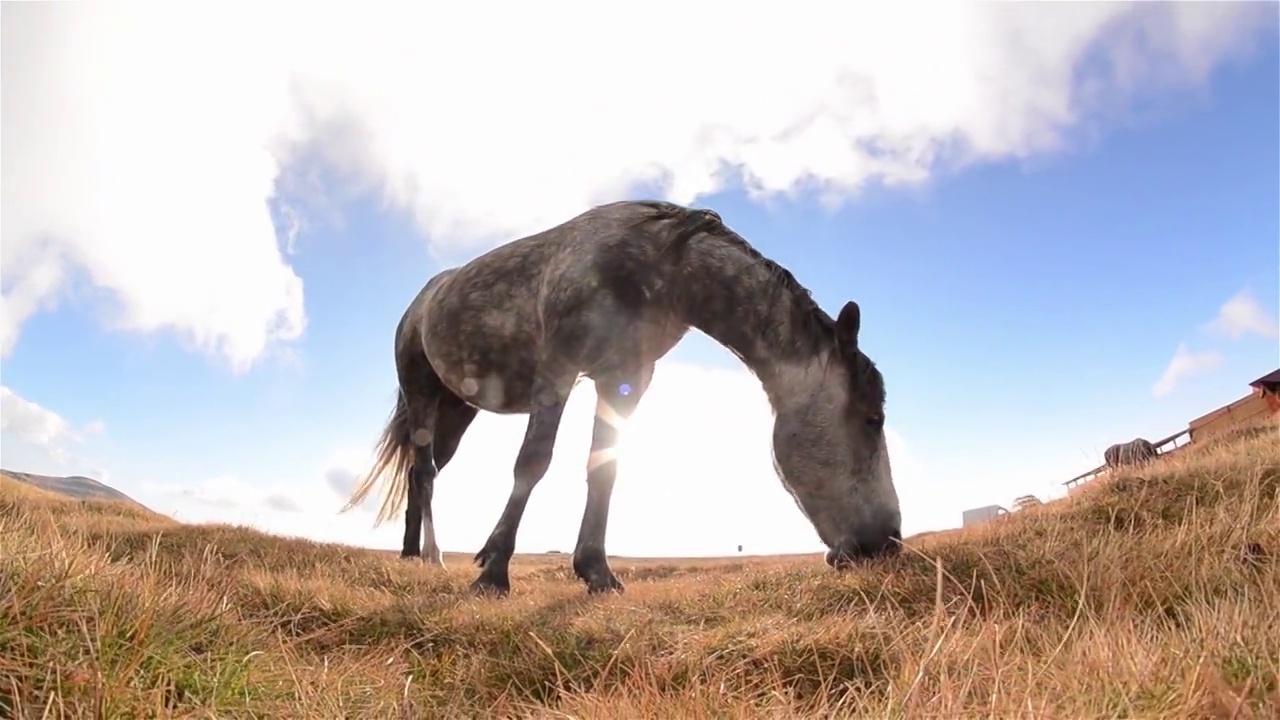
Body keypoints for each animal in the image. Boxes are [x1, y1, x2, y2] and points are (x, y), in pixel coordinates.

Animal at [340, 197, 901, 594]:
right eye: (871, 419)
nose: (887, 543)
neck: (656, 264)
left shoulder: (625, 379)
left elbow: (604, 467)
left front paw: (596, 572)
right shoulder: (558, 370)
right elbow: (533, 462)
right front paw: (493, 572)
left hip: (460, 409)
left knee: (421, 472)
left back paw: (411, 555)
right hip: (421, 394)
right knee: (426, 470)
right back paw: (432, 556)